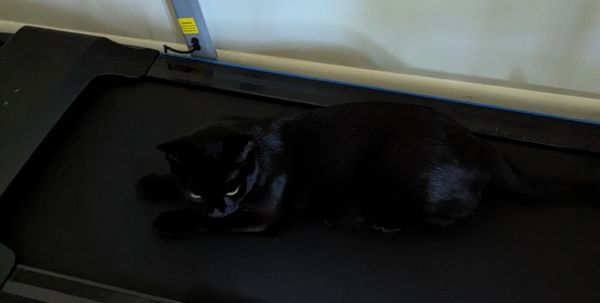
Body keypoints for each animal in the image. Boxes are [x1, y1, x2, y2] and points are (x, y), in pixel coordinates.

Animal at [137, 102, 552, 238]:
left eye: (233, 189)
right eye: (196, 191)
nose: (218, 208)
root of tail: (479, 144)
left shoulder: (262, 214)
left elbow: (214, 223)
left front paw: (172, 221)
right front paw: (155, 183)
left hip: (388, 172)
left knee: (455, 213)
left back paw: (385, 223)